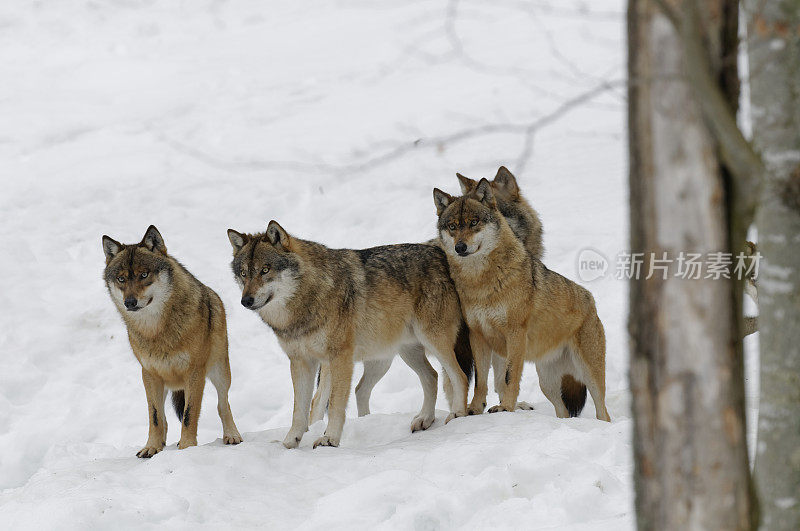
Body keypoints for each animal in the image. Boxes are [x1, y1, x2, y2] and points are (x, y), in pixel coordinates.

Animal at [101, 224, 242, 458]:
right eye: (121, 279)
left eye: (144, 274)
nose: (130, 302)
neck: (157, 331)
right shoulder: (149, 374)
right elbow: (156, 417)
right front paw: (151, 447)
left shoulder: (195, 373)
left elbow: (189, 415)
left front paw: (186, 447)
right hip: (165, 383)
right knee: (164, 419)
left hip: (220, 371)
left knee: (223, 404)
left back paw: (232, 435)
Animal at [228, 220, 472, 448]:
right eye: (244, 274)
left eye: (265, 270)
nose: (245, 300)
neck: (306, 301)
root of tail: (439, 253)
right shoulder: (301, 362)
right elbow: (299, 410)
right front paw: (289, 443)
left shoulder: (340, 358)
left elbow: (336, 404)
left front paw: (329, 439)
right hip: (400, 354)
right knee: (430, 377)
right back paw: (424, 419)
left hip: (432, 341)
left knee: (458, 376)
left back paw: (457, 415)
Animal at [434, 181, 608, 422]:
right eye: (452, 226)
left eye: (474, 222)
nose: (460, 247)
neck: (481, 283)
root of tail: (591, 301)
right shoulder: (477, 336)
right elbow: (480, 381)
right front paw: (474, 409)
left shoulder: (514, 333)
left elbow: (509, 378)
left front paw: (505, 407)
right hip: (547, 383)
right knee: (562, 412)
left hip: (590, 375)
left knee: (603, 411)